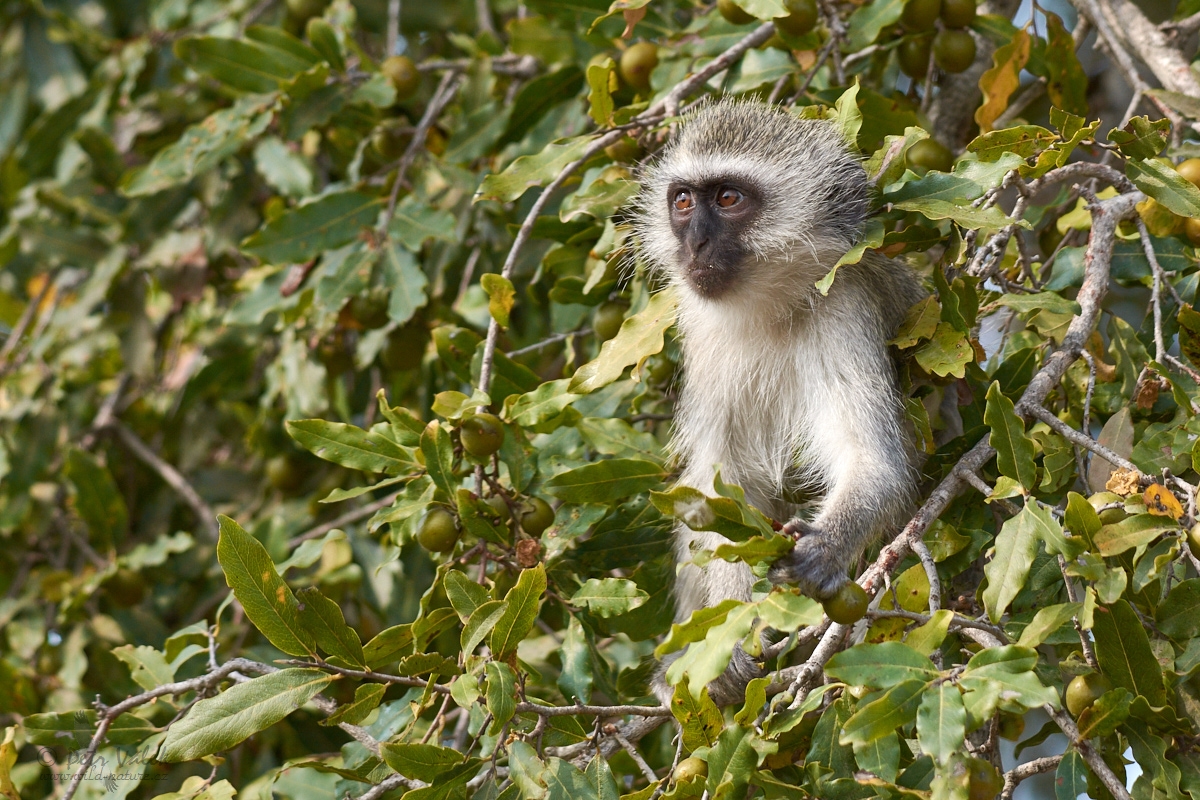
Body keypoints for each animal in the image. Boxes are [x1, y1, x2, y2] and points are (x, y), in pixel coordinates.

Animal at [633, 100, 921, 705]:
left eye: (728, 199)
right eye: (683, 201)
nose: (693, 245)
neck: (772, 308)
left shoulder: (845, 305)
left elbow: (876, 462)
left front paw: (825, 548)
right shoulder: (703, 336)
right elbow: (721, 488)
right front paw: (727, 636)